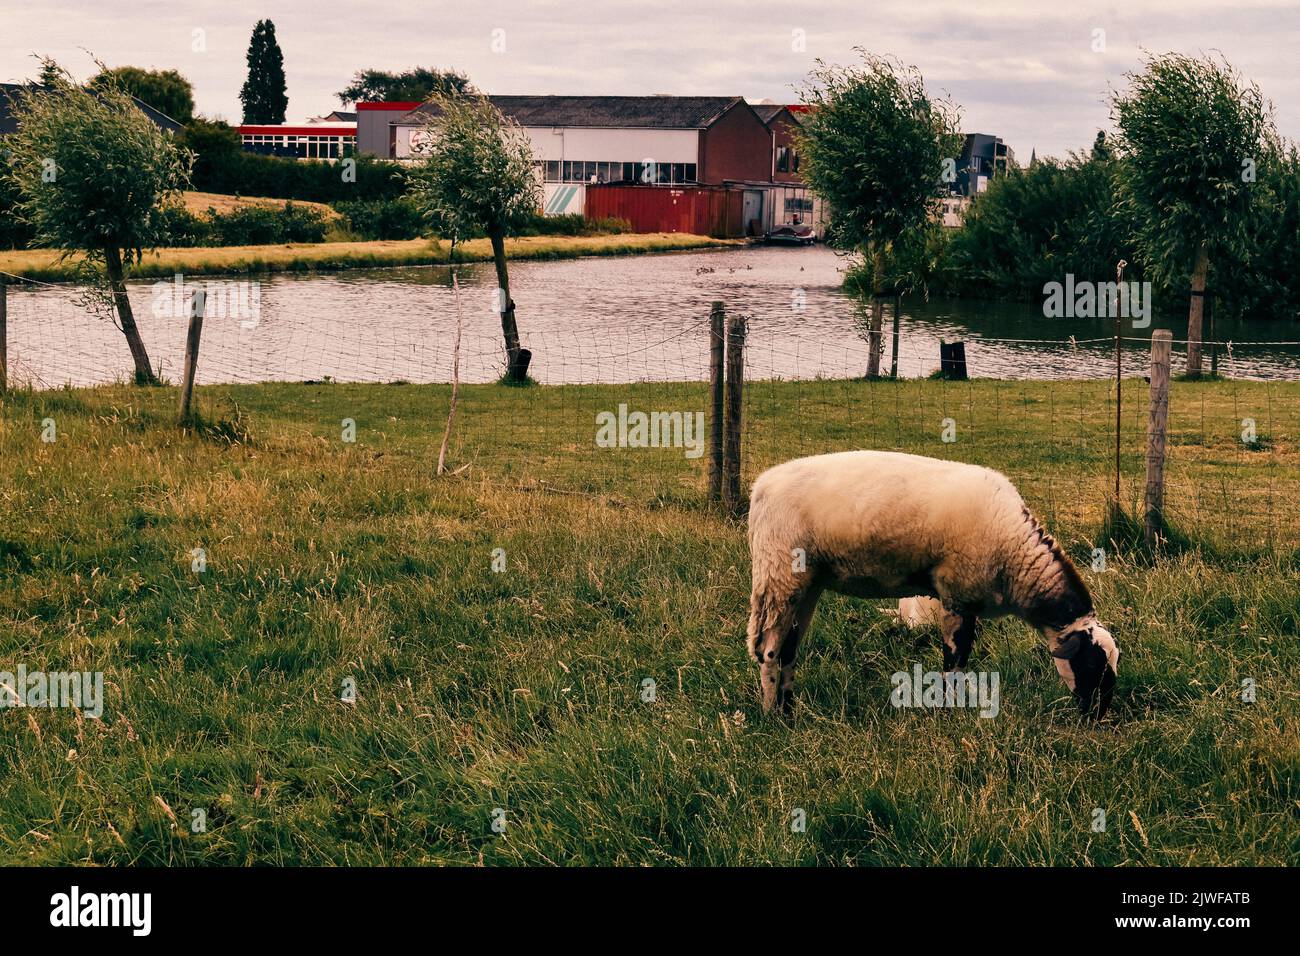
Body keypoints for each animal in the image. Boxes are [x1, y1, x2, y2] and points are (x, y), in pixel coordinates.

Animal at [743, 455, 1118, 717]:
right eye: (1092, 663)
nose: (1099, 716)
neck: (1016, 559)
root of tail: (761, 488)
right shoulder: (957, 595)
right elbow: (955, 660)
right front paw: (949, 710)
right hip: (779, 573)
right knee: (768, 650)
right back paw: (772, 715)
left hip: (807, 583)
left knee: (789, 648)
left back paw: (789, 709)